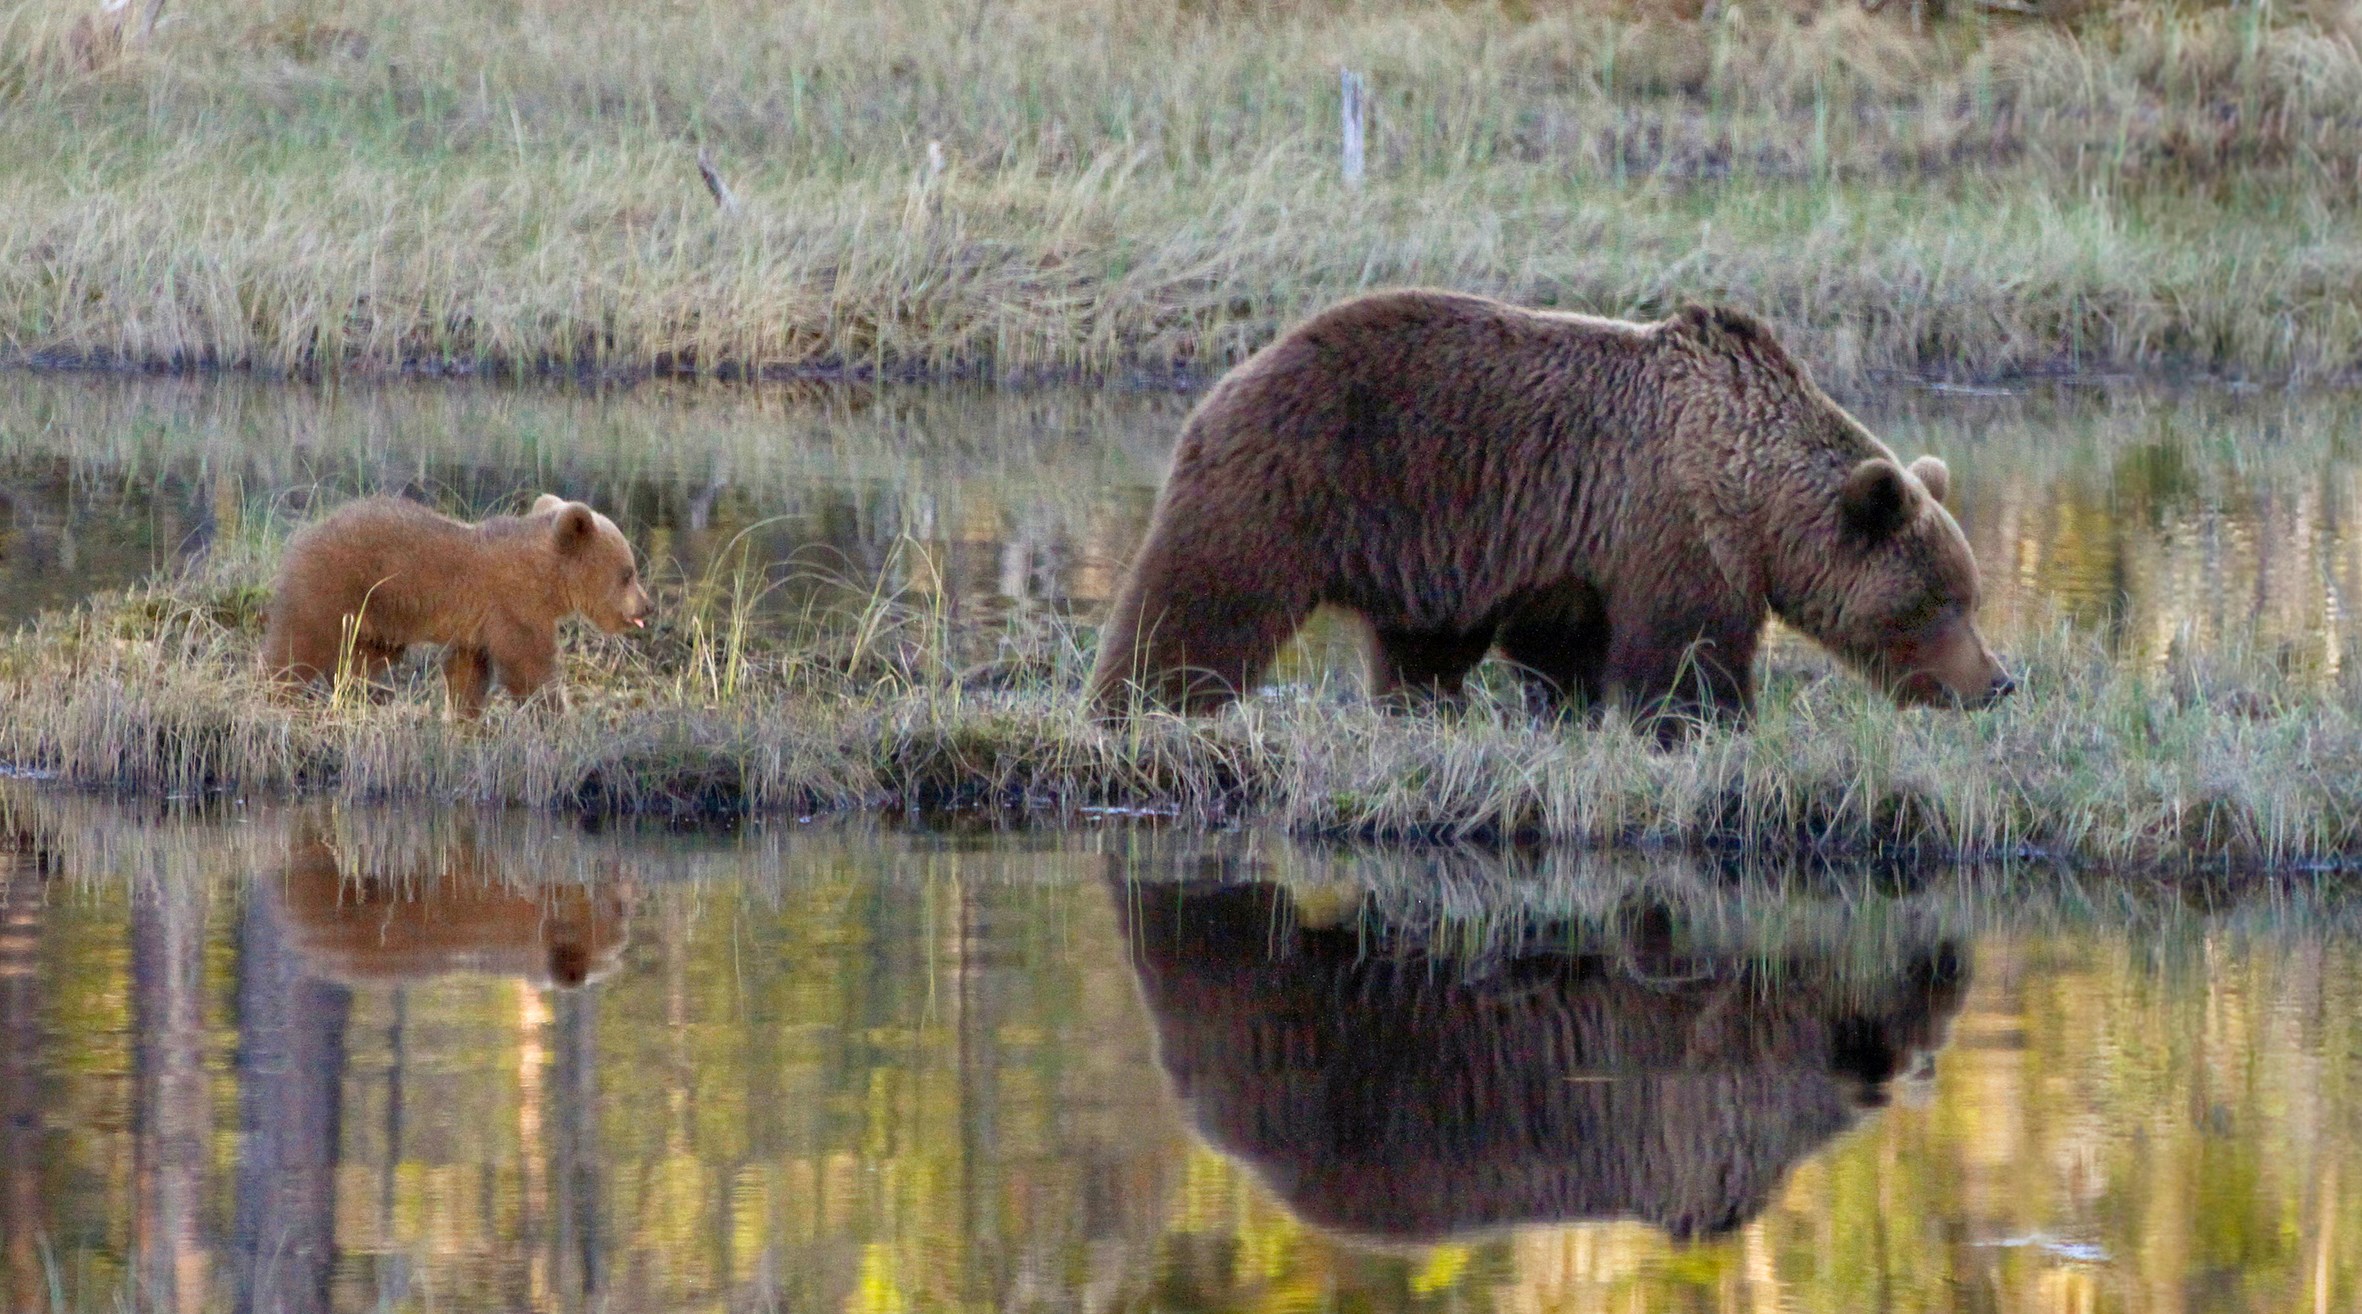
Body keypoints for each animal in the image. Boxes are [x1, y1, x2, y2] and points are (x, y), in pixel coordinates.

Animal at [1086, 288, 2012, 732]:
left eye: (1967, 597)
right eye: (1944, 602)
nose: (2000, 681)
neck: (1752, 493)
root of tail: (1231, 375)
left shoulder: (1574, 549)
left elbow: (1564, 645)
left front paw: (1573, 711)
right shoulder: (1672, 527)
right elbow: (1684, 655)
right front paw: (1710, 726)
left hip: (1420, 541)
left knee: (1421, 646)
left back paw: (1424, 707)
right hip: (1298, 481)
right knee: (1203, 602)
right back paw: (1139, 705)